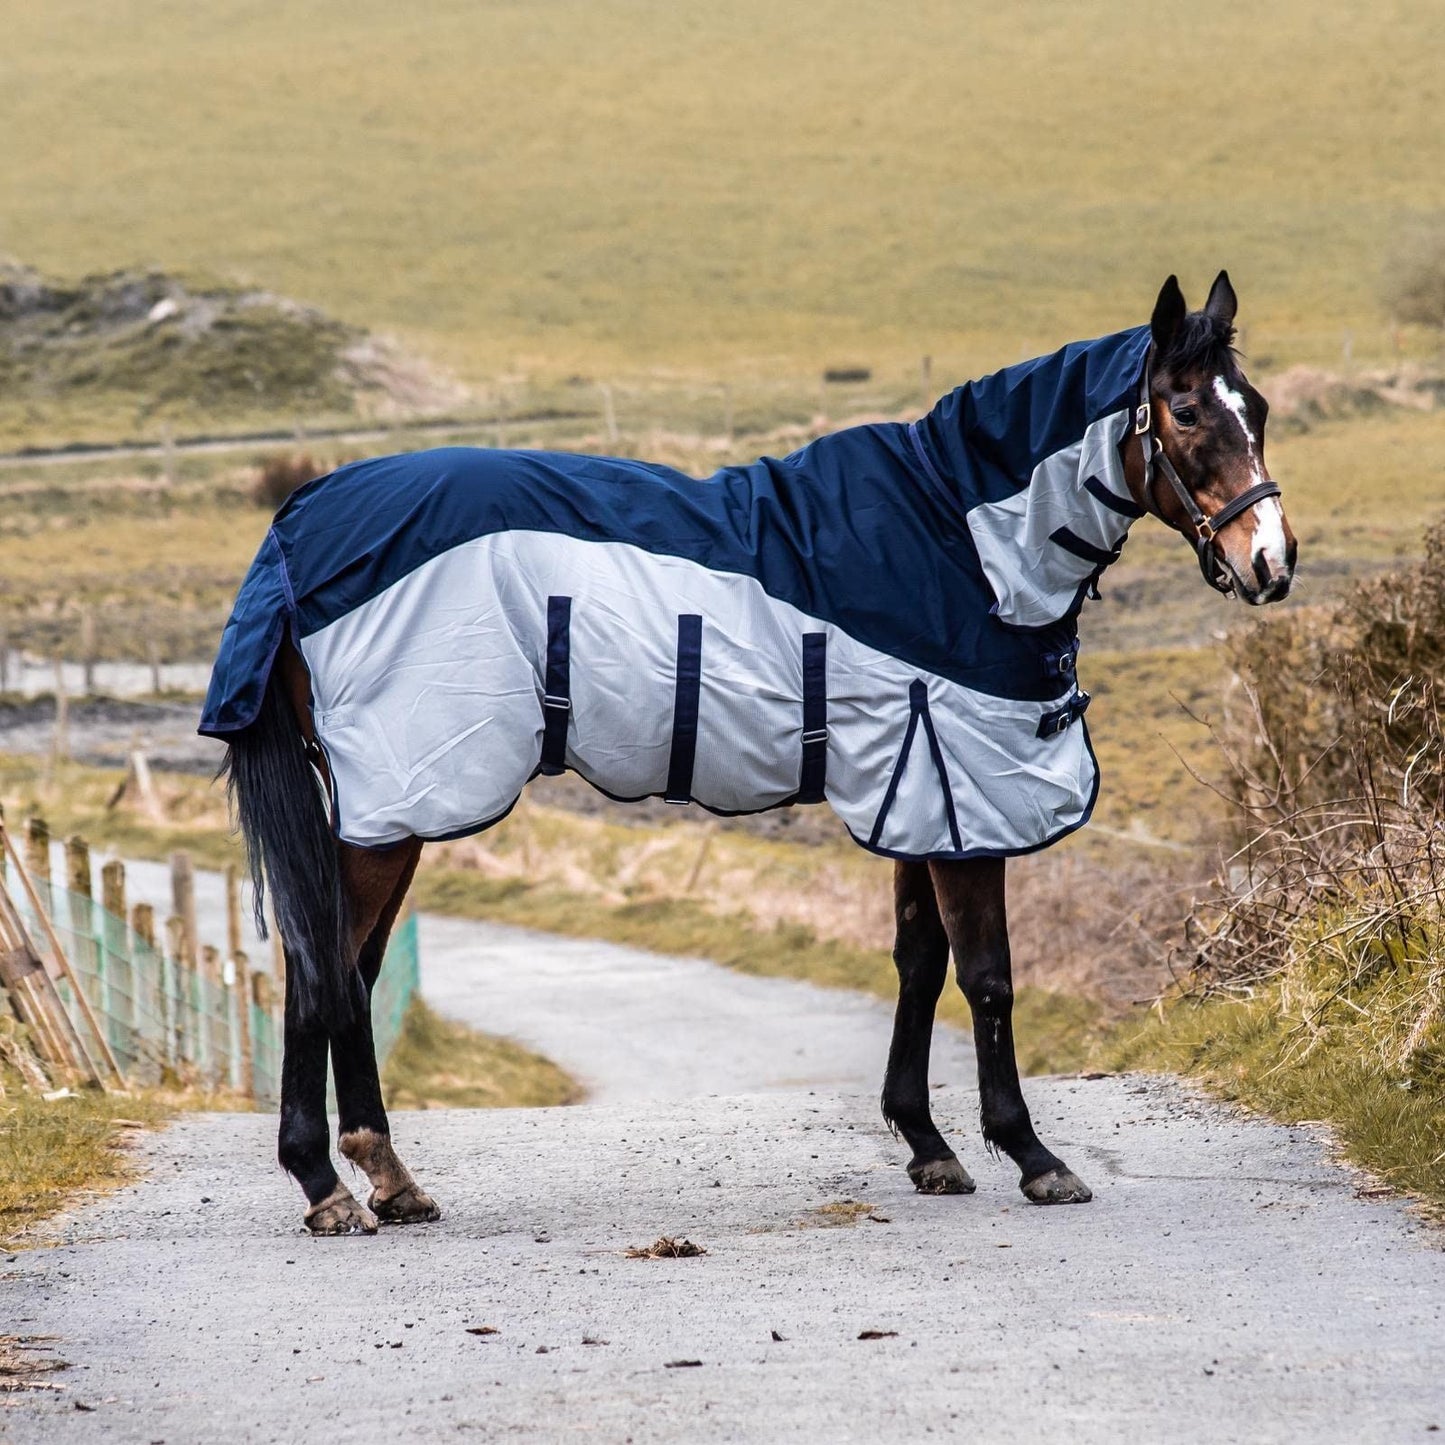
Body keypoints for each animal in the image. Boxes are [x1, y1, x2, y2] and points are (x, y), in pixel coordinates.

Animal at [203, 271, 1295, 1233]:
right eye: (1184, 411)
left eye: (1256, 407)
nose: (1272, 564)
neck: (959, 542)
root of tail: (296, 528)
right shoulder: (961, 796)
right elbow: (986, 976)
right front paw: (1030, 1154)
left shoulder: (917, 789)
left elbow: (916, 961)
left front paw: (926, 1144)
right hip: (395, 805)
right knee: (322, 967)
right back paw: (326, 1185)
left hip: (392, 806)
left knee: (350, 968)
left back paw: (387, 1178)